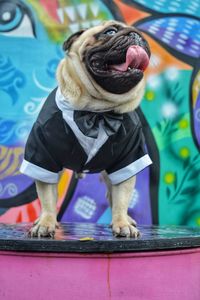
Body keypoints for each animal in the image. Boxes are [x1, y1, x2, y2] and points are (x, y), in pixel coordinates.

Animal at [20, 19, 152, 238]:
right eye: (110, 32)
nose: (136, 36)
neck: (97, 111)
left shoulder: (128, 159)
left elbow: (122, 197)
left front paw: (122, 223)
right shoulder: (44, 155)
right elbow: (47, 197)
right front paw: (46, 223)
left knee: (112, 195)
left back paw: (126, 220)